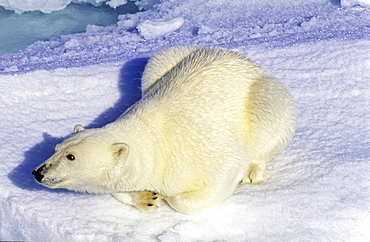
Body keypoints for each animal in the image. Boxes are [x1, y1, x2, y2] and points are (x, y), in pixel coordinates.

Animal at [33, 46, 296, 215]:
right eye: (56, 148)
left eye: (71, 156)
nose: (38, 172)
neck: (157, 145)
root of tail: (246, 61)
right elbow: (120, 189)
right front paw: (147, 198)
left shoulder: (197, 154)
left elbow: (215, 181)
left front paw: (168, 197)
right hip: (165, 61)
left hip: (264, 96)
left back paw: (253, 171)